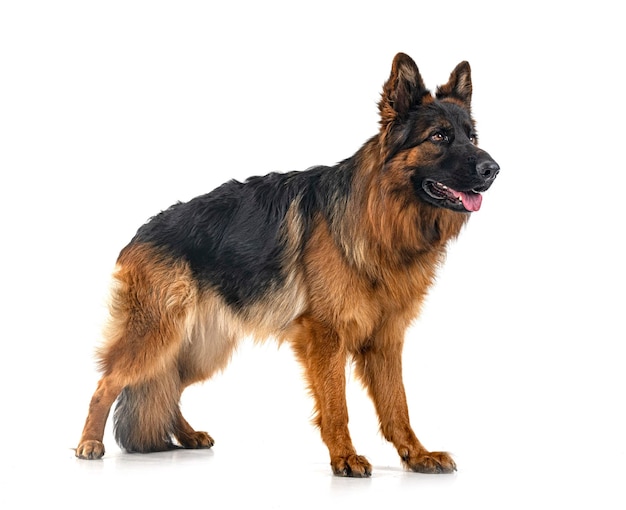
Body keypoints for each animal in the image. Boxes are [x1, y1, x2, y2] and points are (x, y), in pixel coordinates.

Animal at [75, 53, 500, 476]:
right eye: (439, 137)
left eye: (471, 137)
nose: (493, 169)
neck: (380, 215)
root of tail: (141, 233)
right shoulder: (327, 336)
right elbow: (336, 405)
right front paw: (344, 456)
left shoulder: (384, 340)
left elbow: (398, 406)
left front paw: (416, 454)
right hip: (156, 335)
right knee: (107, 383)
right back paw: (89, 443)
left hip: (200, 349)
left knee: (168, 387)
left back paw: (187, 435)